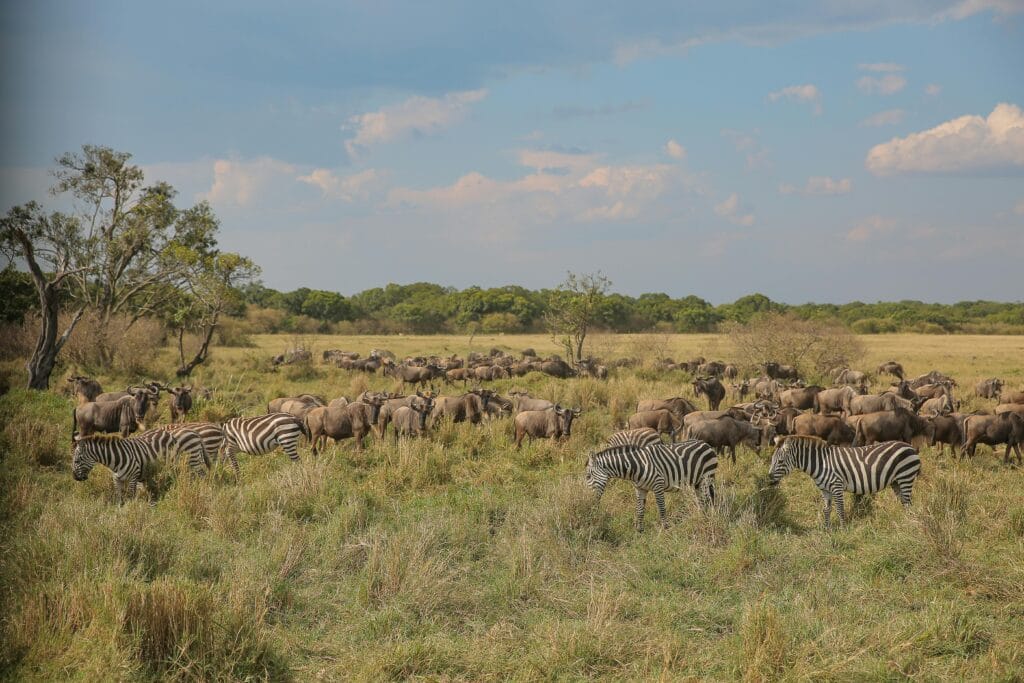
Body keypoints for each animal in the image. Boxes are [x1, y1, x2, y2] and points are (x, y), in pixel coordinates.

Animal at [71, 429, 208, 504]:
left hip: (192, 460)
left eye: (77, 461)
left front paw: (132, 513)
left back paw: (202, 491)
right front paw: (119, 513)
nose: (74, 478)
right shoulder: (117, 479)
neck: (116, 460)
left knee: (202, 476)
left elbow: (131, 497)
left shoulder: (133, 478)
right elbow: (119, 498)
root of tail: (195, 433)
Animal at [584, 440, 718, 531]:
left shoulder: (658, 485)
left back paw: (709, 519)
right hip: (697, 483)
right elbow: (640, 510)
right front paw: (639, 531)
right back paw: (702, 518)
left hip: (707, 478)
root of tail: (706, 444)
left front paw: (666, 529)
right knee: (701, 501)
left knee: (708, 500)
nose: (586, 501)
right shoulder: (640, 489)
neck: (636, 466)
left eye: (588, 476)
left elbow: (662, 509)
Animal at [767, 435, 921, 529]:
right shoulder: (825, 490)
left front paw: (843, 529)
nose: (769, 479)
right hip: (896, 482)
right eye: (771, 460)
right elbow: (826, 509)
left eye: (780, 461)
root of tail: (910, 446)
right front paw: (827, 529)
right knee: (904, 503)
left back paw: (908, 524)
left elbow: (840, 509)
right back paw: (904, 521)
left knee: (908, 503)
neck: (821, 463)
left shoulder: (837, 486)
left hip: (906, 477)